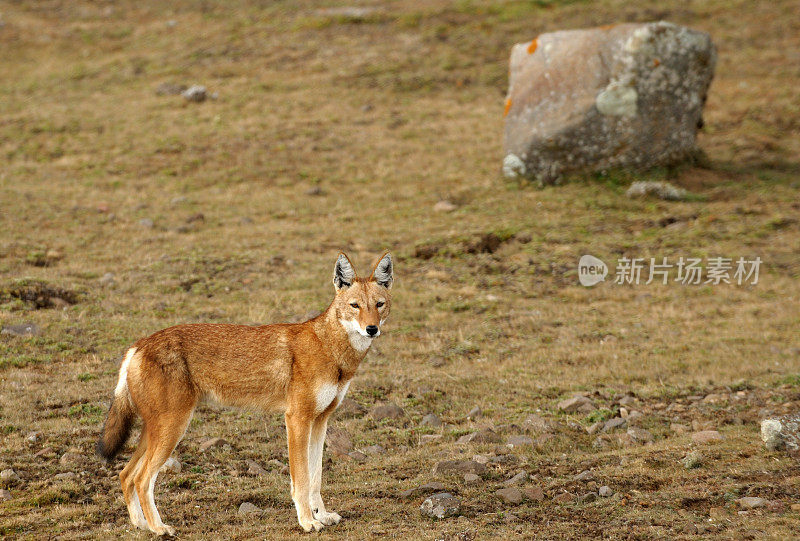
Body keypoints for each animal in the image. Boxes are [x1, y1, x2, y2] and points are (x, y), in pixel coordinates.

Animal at [97, 252, 394, 532]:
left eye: (379, 305)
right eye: (355, 306)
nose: (371, 329)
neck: (329, 348)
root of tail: (137, 345)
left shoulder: (320, 422)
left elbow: (315, 478)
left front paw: (322, 515)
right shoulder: (297, 420)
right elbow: (300, 480)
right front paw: (307, 522)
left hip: (157, 431)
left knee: (125, 474)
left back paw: (141, 525)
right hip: (172, 429)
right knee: (141, 479)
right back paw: (159, 528)